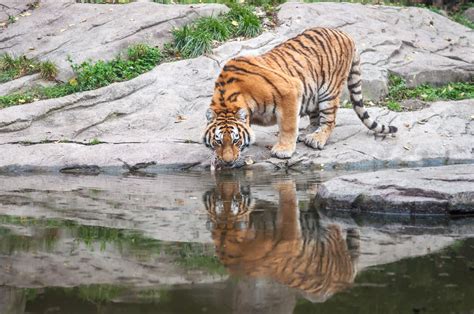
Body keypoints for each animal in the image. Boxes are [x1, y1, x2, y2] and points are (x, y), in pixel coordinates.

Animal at [202, 27, 398, 167]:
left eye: (236, 140)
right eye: (218, 141)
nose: (227, 162)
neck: (228, 98)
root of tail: (345, 34)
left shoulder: (289, 90)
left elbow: (287, 125)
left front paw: (283, 150)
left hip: (328, 90)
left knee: (329, 120)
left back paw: (316, 139)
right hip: (312, 92)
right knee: (315, 117)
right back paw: (307, 133)